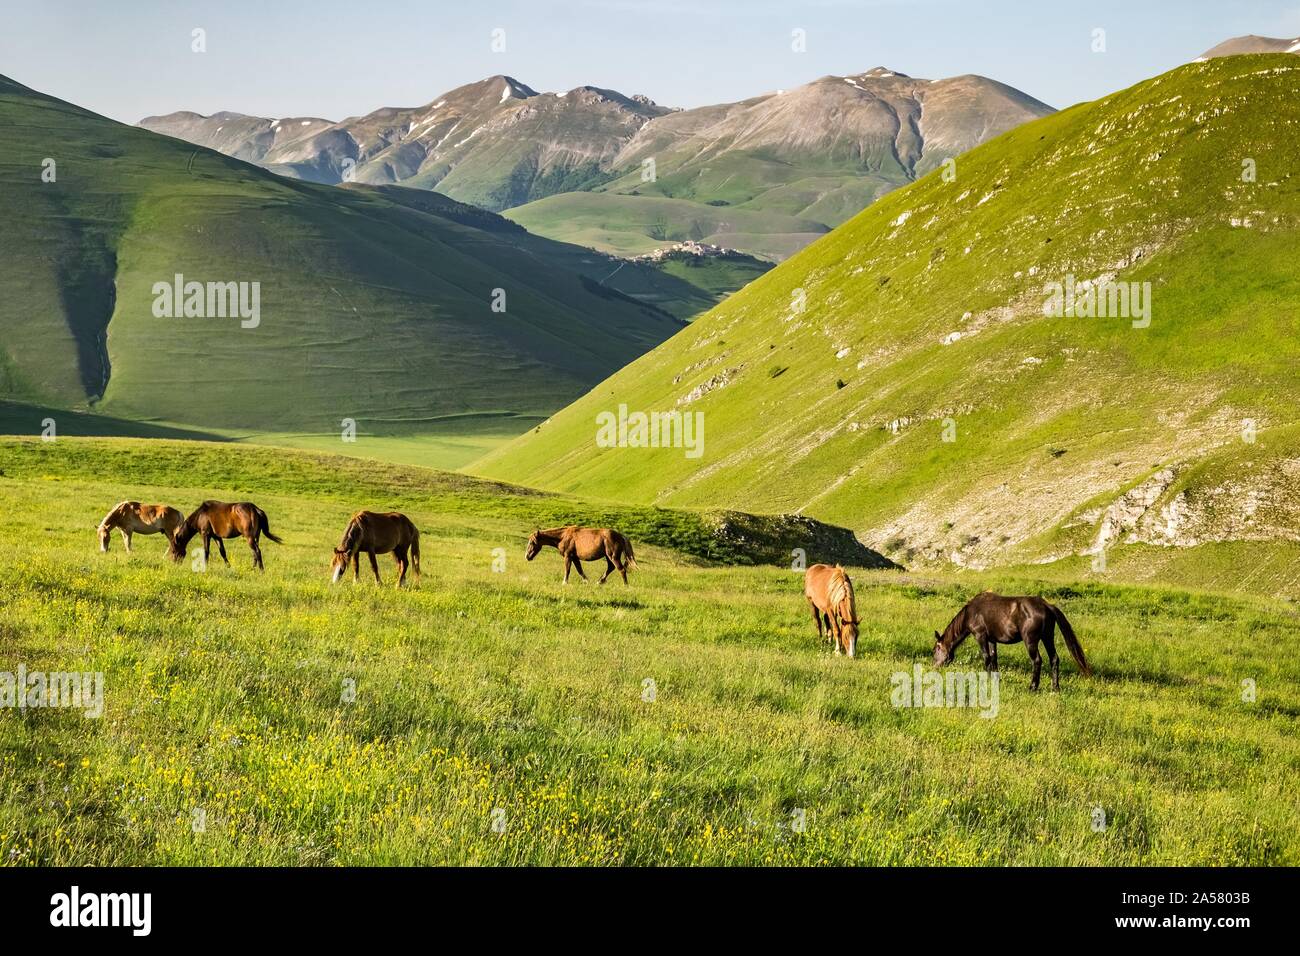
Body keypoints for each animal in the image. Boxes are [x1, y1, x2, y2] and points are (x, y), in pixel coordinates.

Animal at [935, 587, 1086, 691]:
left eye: (936, 649)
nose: (935, 666)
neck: (970, 613)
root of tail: (1047, 605)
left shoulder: (980, 636)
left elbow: (986, 657)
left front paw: (986, 680)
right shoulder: (992, 639)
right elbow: (994, 658)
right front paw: (994, 679)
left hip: (1030, 641)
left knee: (1037, 660)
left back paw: (1033, 687)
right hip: (1048, 637)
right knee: (1054, 659)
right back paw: (1055, 688)